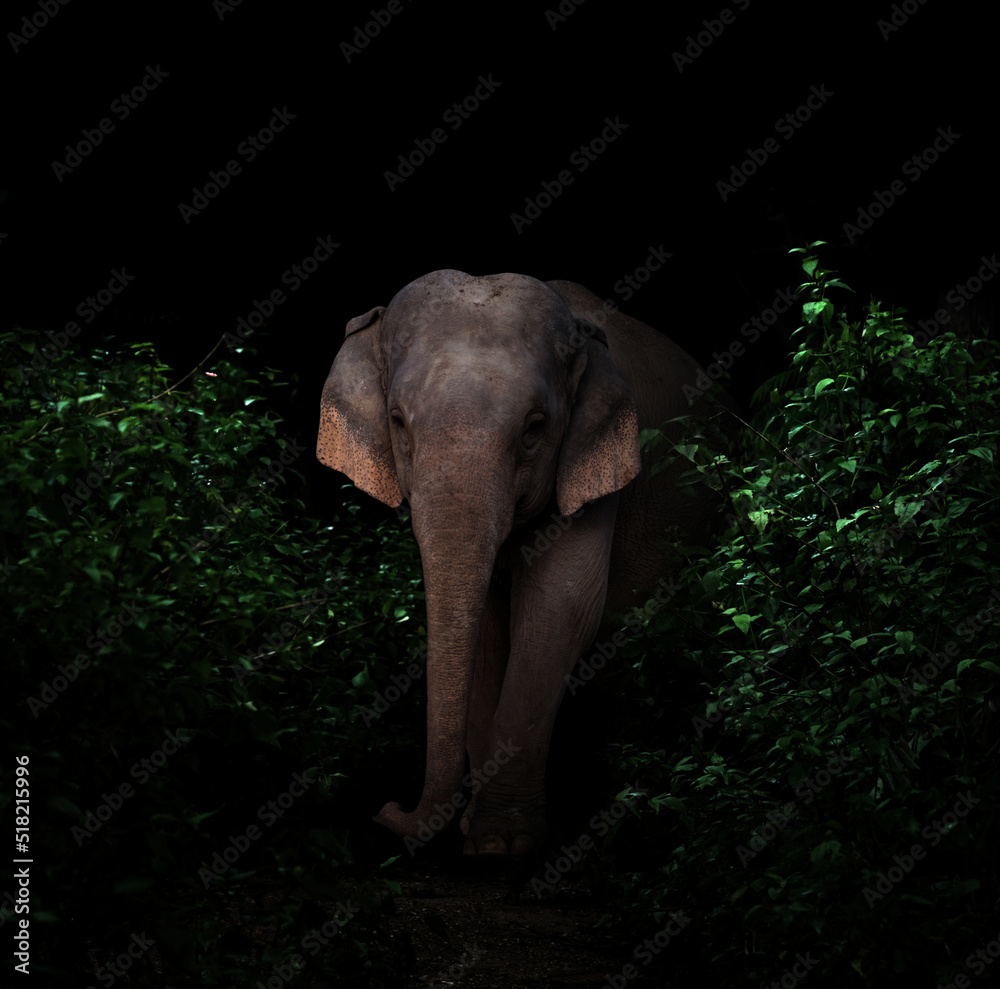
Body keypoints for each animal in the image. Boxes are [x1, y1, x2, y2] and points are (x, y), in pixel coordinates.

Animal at [317, 269, 733, 856]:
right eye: (397, 421)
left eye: (535, 428)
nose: (387, 810)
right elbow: (488, 628)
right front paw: (477, 832)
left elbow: (561, 606)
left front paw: (501, 845)